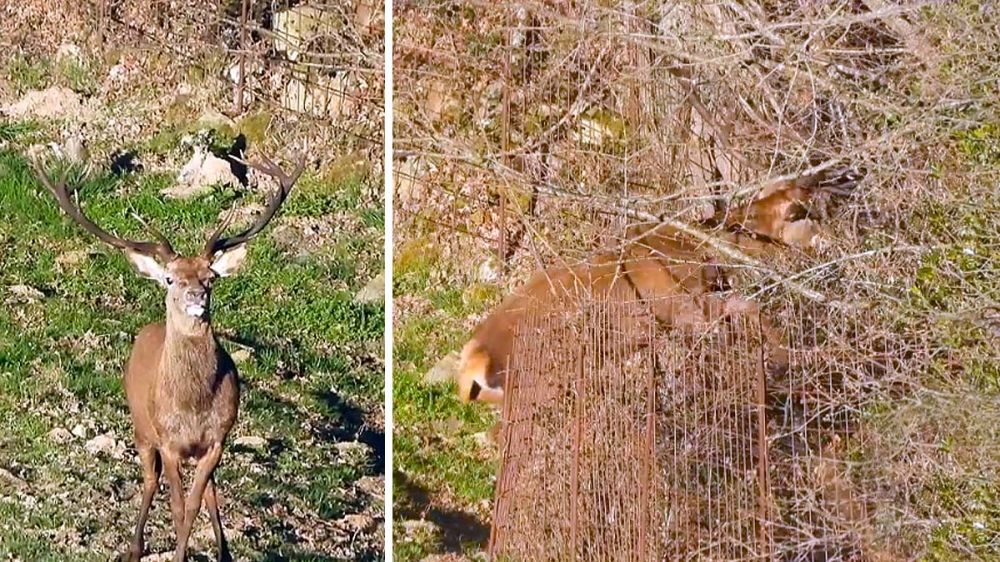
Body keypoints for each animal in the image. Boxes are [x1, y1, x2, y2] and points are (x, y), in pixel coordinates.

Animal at [34, 154, 304, 560]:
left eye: (211, 277)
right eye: (170, 279)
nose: (197, 296)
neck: (192, 405)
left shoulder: (217, 439)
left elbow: (195, 503)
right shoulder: (168, 442)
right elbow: (176, 505)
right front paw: (178, 554)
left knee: (209, 492)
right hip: (141, 428)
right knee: (149, 479)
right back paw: (135, 545)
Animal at [458, 166, 856, 402]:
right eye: (803, 213)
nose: (840, 243)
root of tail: (475, 361)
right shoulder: (682, 309)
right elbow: (746, 306)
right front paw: (794, 358)